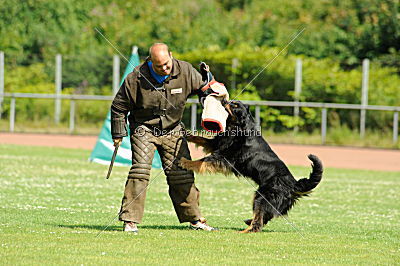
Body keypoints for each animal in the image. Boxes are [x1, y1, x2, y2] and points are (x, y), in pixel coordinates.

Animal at [180, 101, 324, 233]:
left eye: (235, 105)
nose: (225, 101)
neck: (239, 125)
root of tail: (293, 184)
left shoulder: (223, 157)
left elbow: (201, 161)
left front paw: (185, 162)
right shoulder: (216, 144)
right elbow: (200, 138)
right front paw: (185, 133)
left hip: (262, 197)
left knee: (258, 221)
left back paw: (244, 231)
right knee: (264, 217)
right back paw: (248, 222)